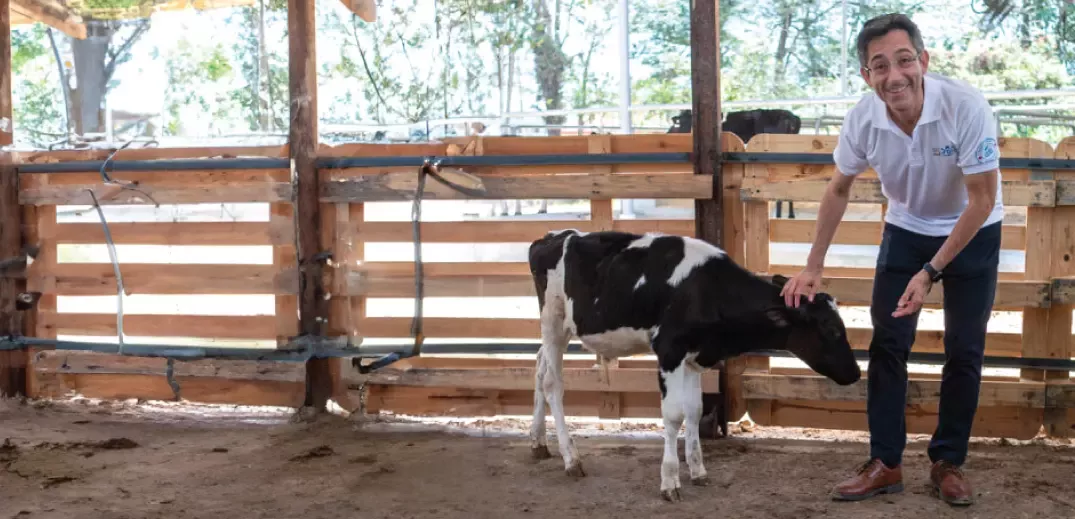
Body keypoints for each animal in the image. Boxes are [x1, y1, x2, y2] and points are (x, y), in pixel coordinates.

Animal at [526, 229, 861, 502]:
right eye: (832, 330)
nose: (856, 372)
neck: (706, 289)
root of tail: (553, 237)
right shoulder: (669, 351)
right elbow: (674, 415)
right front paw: (670, 480)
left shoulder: (694, 357)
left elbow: (695, 410)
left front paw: (698, 470)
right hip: (554, 321)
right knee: (552, 383)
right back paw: (571, 459)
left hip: (554, 331)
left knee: (539, 367)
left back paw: (538, 442)